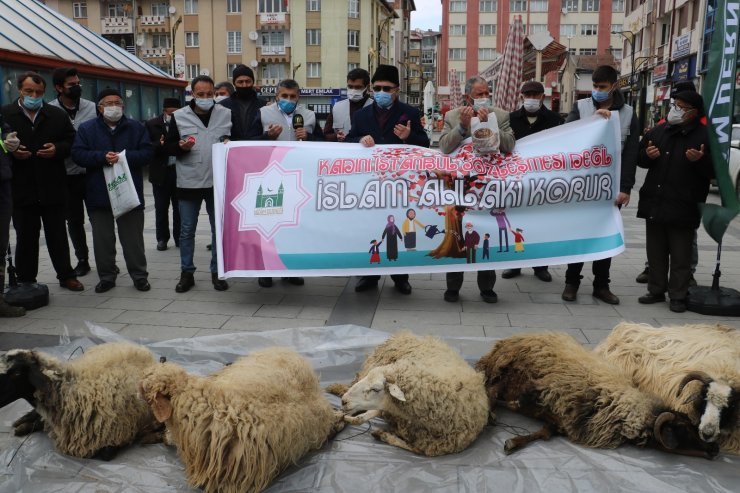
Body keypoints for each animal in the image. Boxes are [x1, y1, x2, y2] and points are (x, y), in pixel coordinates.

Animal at [326, 330, 488, 458]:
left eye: (376, 389)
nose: (344, 401)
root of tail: (406, 334)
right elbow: (362, 417)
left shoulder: (431, 446)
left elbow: (417, 450)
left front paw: (382, 434)